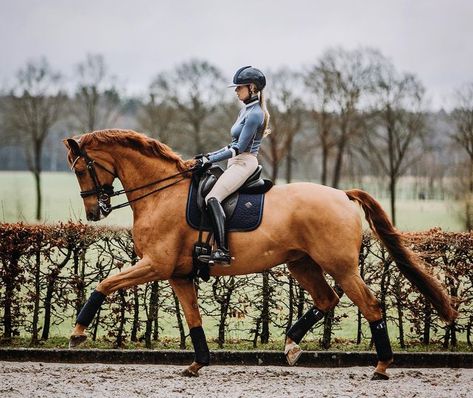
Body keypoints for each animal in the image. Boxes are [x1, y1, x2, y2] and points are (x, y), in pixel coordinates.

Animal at [63, 130, 458, 380]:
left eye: (81, 169)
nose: (94, 213)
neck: (162, 194)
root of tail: (343, 195)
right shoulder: (176, 274)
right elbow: (193, 320)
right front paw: (198, 364)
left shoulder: (155, 265)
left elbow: (104, 284)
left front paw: (78, 332)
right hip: (301, 263)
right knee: (326, 300)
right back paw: (292, 345)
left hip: (342, 268)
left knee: (371, 306)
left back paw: (381, 367)